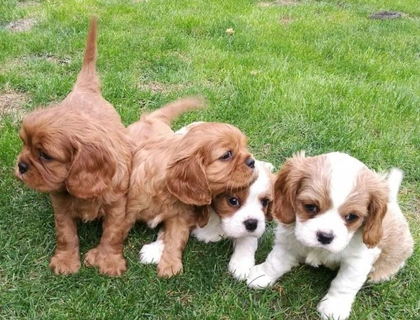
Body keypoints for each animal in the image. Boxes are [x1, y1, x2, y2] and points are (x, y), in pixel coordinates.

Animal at [125, 105, 256, 278]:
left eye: (244, 147)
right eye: (227, 155)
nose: (252, 162)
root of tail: (148, 119)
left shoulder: (180, 216)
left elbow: (175, 238)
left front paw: (170, 265)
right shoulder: (128, 209)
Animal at [139, 158, 274, 280]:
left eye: (265, 202)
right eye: (233, 201)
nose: (252, 224)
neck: (216, 218)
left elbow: (247, 238)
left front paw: (241, 264)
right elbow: (171, 232)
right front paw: (154, 250)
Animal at [246, 152, 414, 320]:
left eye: (352, 217)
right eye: (310, 207)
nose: (325, 236)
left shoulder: (358, 261)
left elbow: (344, 284)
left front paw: (334, 307)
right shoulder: (289, 240)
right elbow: (275, 261)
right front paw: (261, 276)